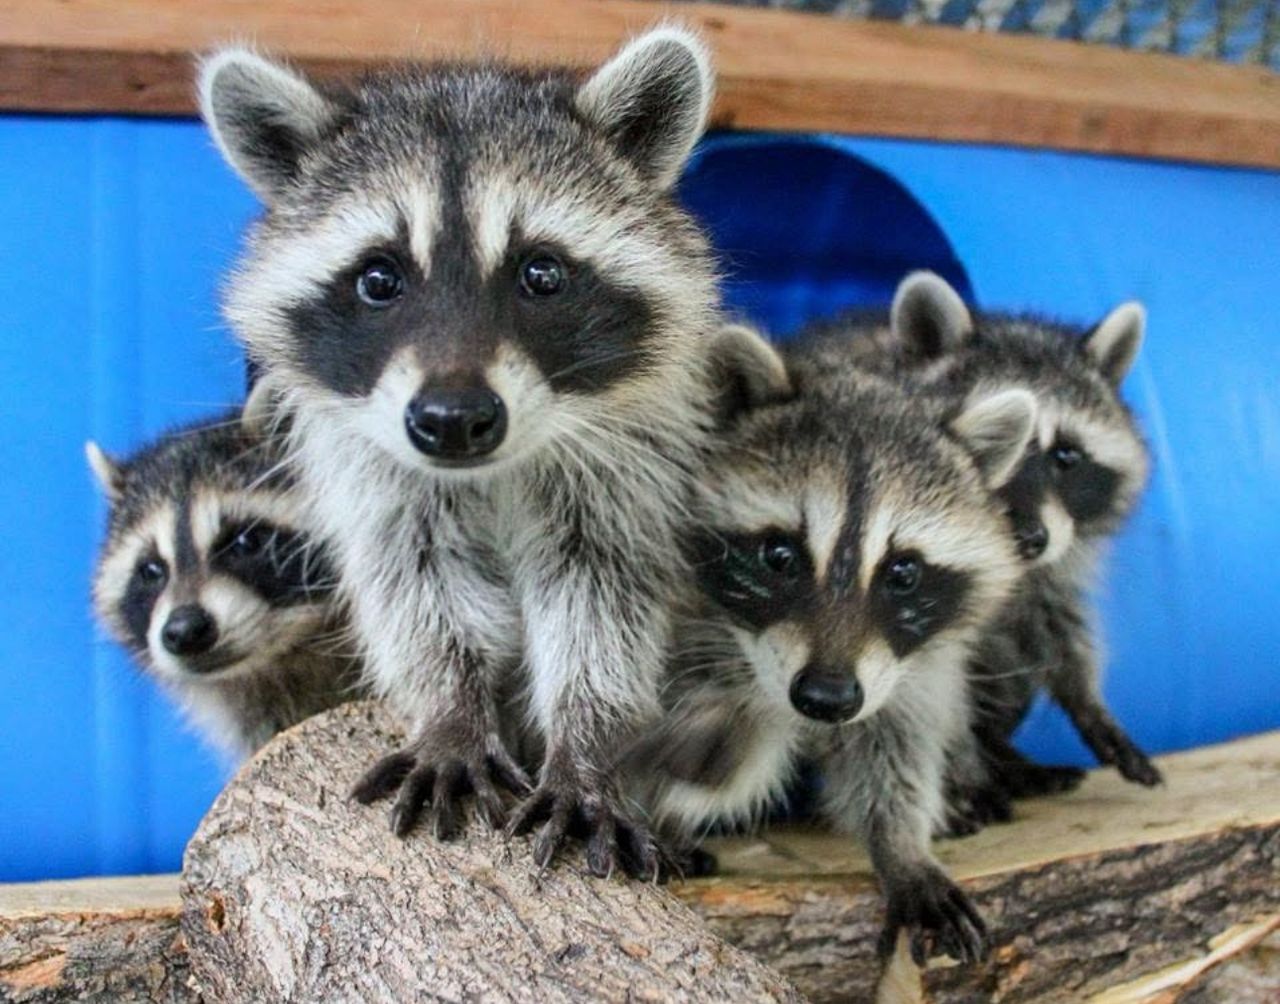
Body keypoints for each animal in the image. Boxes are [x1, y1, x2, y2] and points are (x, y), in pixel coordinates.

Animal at [199, 27, 721, 875]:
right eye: (379, 278)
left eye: (541, 272)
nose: (451, 420)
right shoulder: (377, 471)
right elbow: (420, 588)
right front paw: (450, 711)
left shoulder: (622, 465)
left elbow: (600, 599)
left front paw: (587, 740)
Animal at [636, 351, 1037, 964]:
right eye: (779, 556)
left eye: (904, 572)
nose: (826, 698)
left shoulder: (906, 671)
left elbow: (893, 749)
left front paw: (902, 846)